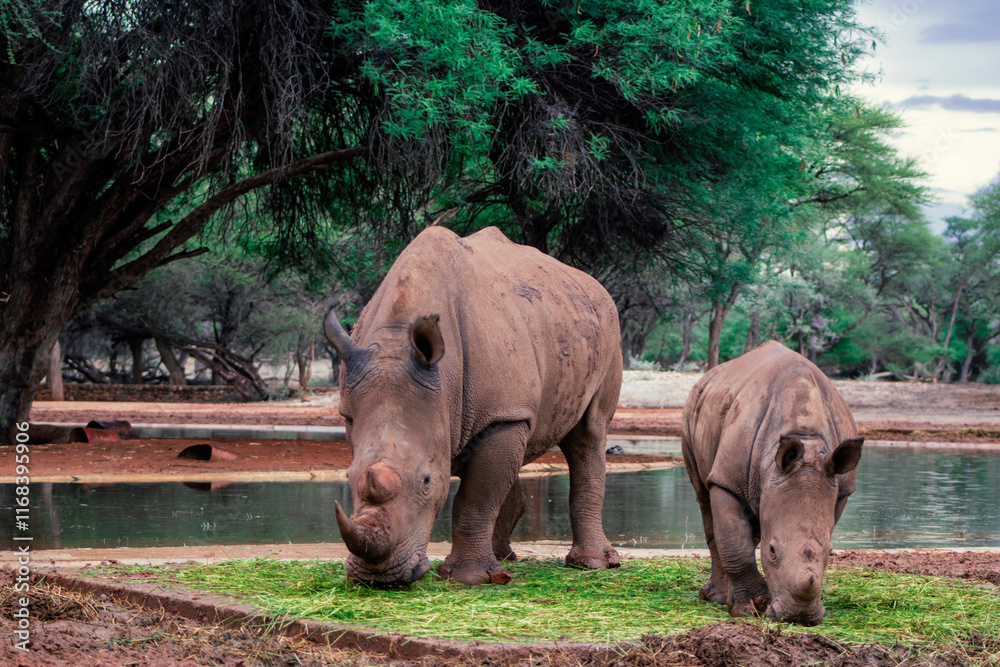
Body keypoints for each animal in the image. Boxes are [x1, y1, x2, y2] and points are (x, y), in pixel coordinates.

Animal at [324, 226, 623, 586]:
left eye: (427, 480)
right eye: (348, 476)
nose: (378, 578)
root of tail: (593, 284)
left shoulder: (501, 416)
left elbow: (475, 498)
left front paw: (469, 579)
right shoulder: (355, 413)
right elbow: (488, 484)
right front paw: (486, 575)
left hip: (607, 328)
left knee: (589, 433)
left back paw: (591, 564)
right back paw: (505, 561)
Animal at [681, 341, 863, 626]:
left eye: (831, 552)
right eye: (772, 550)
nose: (799, 617)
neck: (807, 438)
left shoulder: (840, 489)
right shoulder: (727, 480)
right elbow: (735, 544)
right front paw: (748, 608)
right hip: (692, 411)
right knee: (703, 496)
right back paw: (717, 598)